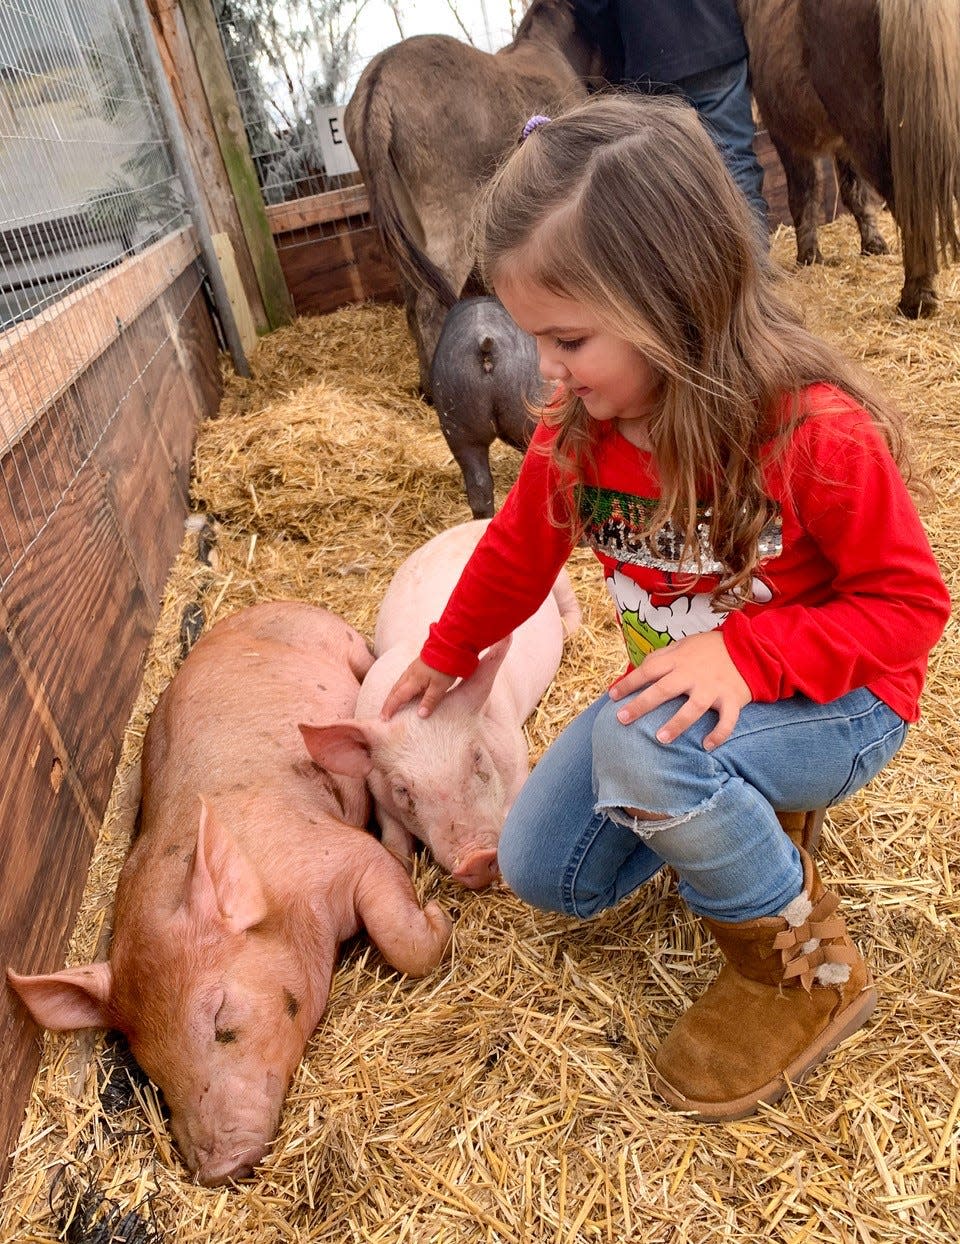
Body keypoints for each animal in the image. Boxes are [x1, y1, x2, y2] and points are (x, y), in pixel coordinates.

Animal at [7, 602, 452, 1184]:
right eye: (149, 1064)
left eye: (220, 1017)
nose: (218, 1168)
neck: (278, 893)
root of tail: (265, 604)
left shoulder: (338, 850)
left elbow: (403, 935)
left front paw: (438, 912)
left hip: (344, 642)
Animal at [303, 519, 581, 890]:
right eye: (402, 789)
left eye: (477, 757)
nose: (475, 857)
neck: (414, 708)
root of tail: (475, 522)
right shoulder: (378, 794)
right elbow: (392, 835)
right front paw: (400, 863)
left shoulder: (515, 750)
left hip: (559, 578)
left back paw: (570, 630)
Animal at [343, 0, 599, 393]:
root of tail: (379, 79)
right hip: (453, 212)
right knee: (431, 300)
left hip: (407, 219)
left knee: (412, 298)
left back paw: (423, 385)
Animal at [741, 0, 960, 315]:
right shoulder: (843, 138)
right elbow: (853, 190)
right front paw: (873, 245)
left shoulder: (785, 131)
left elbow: (804, 190)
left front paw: (809, 257)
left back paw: (915, 299)